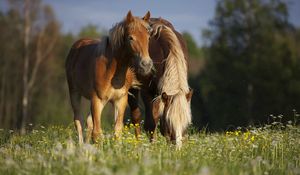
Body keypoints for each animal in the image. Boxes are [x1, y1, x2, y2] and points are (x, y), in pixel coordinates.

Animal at [65, 11, 152, 145]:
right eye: (130, 38)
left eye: (148, 37)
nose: (146, 64)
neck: (112, 71)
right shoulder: (97, 100)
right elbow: (97, 133)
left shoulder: (120, 100)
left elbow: (117, 131)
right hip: (74, 93)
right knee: (78, 121)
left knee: (88, 122)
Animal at [127, 17, 193, 148]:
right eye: (169, 122)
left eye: (186, 123)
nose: (178, 148)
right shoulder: (147, 92)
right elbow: (151, 124)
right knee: (136, 117)